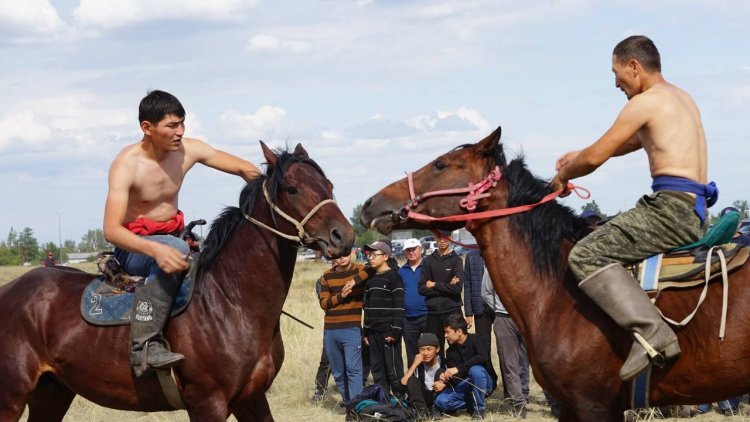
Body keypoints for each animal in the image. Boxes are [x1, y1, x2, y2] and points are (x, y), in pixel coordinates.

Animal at [0, 143, 356, 420]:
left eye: (328, 184)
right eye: (291, 189)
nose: (344, 236)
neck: (230, 301)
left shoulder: (252, 399)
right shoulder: (208, 404)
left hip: (52, 393)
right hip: (12, 397)